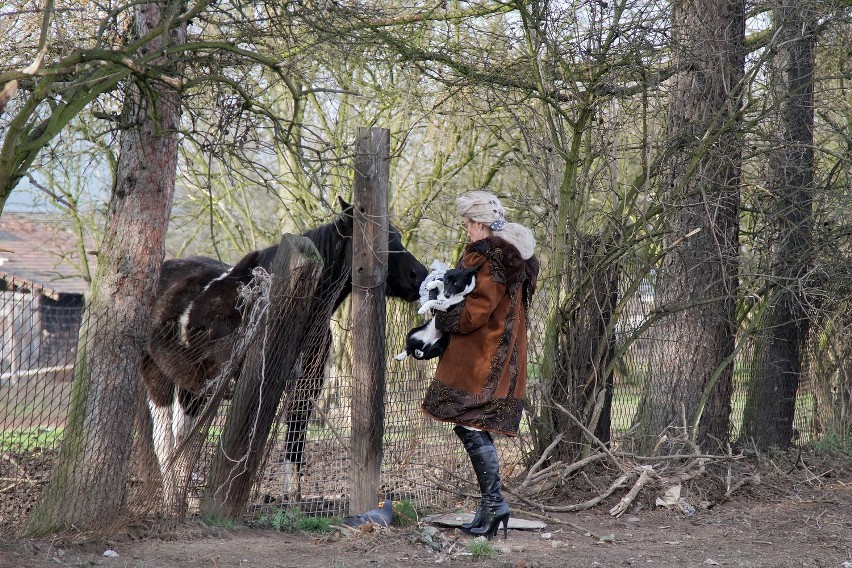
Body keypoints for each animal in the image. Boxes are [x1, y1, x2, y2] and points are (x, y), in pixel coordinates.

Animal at [144, 199, 432, 502]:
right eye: (373, 241)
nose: (419, 276)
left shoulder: (306, 387)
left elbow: (295, 441)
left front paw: (292, 498)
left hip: (193, 387)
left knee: (182, 438)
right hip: (159, 379)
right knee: (166, 442)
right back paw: (172, 498)